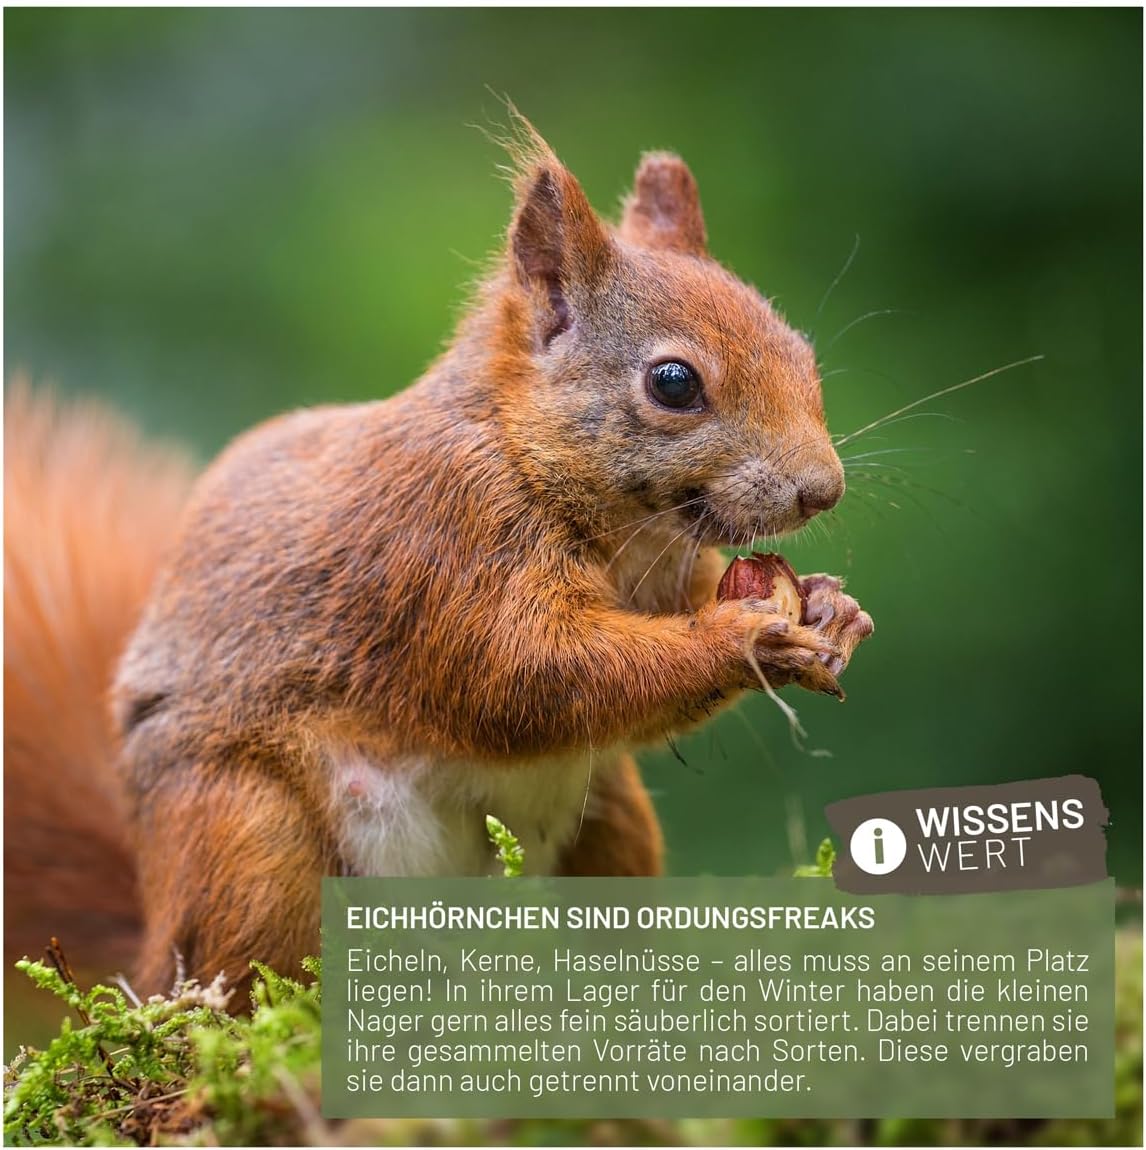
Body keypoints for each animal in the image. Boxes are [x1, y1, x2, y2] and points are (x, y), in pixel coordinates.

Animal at [4, 117, 873, 1003]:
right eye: (673, 383)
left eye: (800, 351)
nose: (822, 490)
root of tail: (148, 959)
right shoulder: (446, 544)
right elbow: (532, 674)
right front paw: (742, 637)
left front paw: (832, 610)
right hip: (250, 836)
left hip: (612, 819)